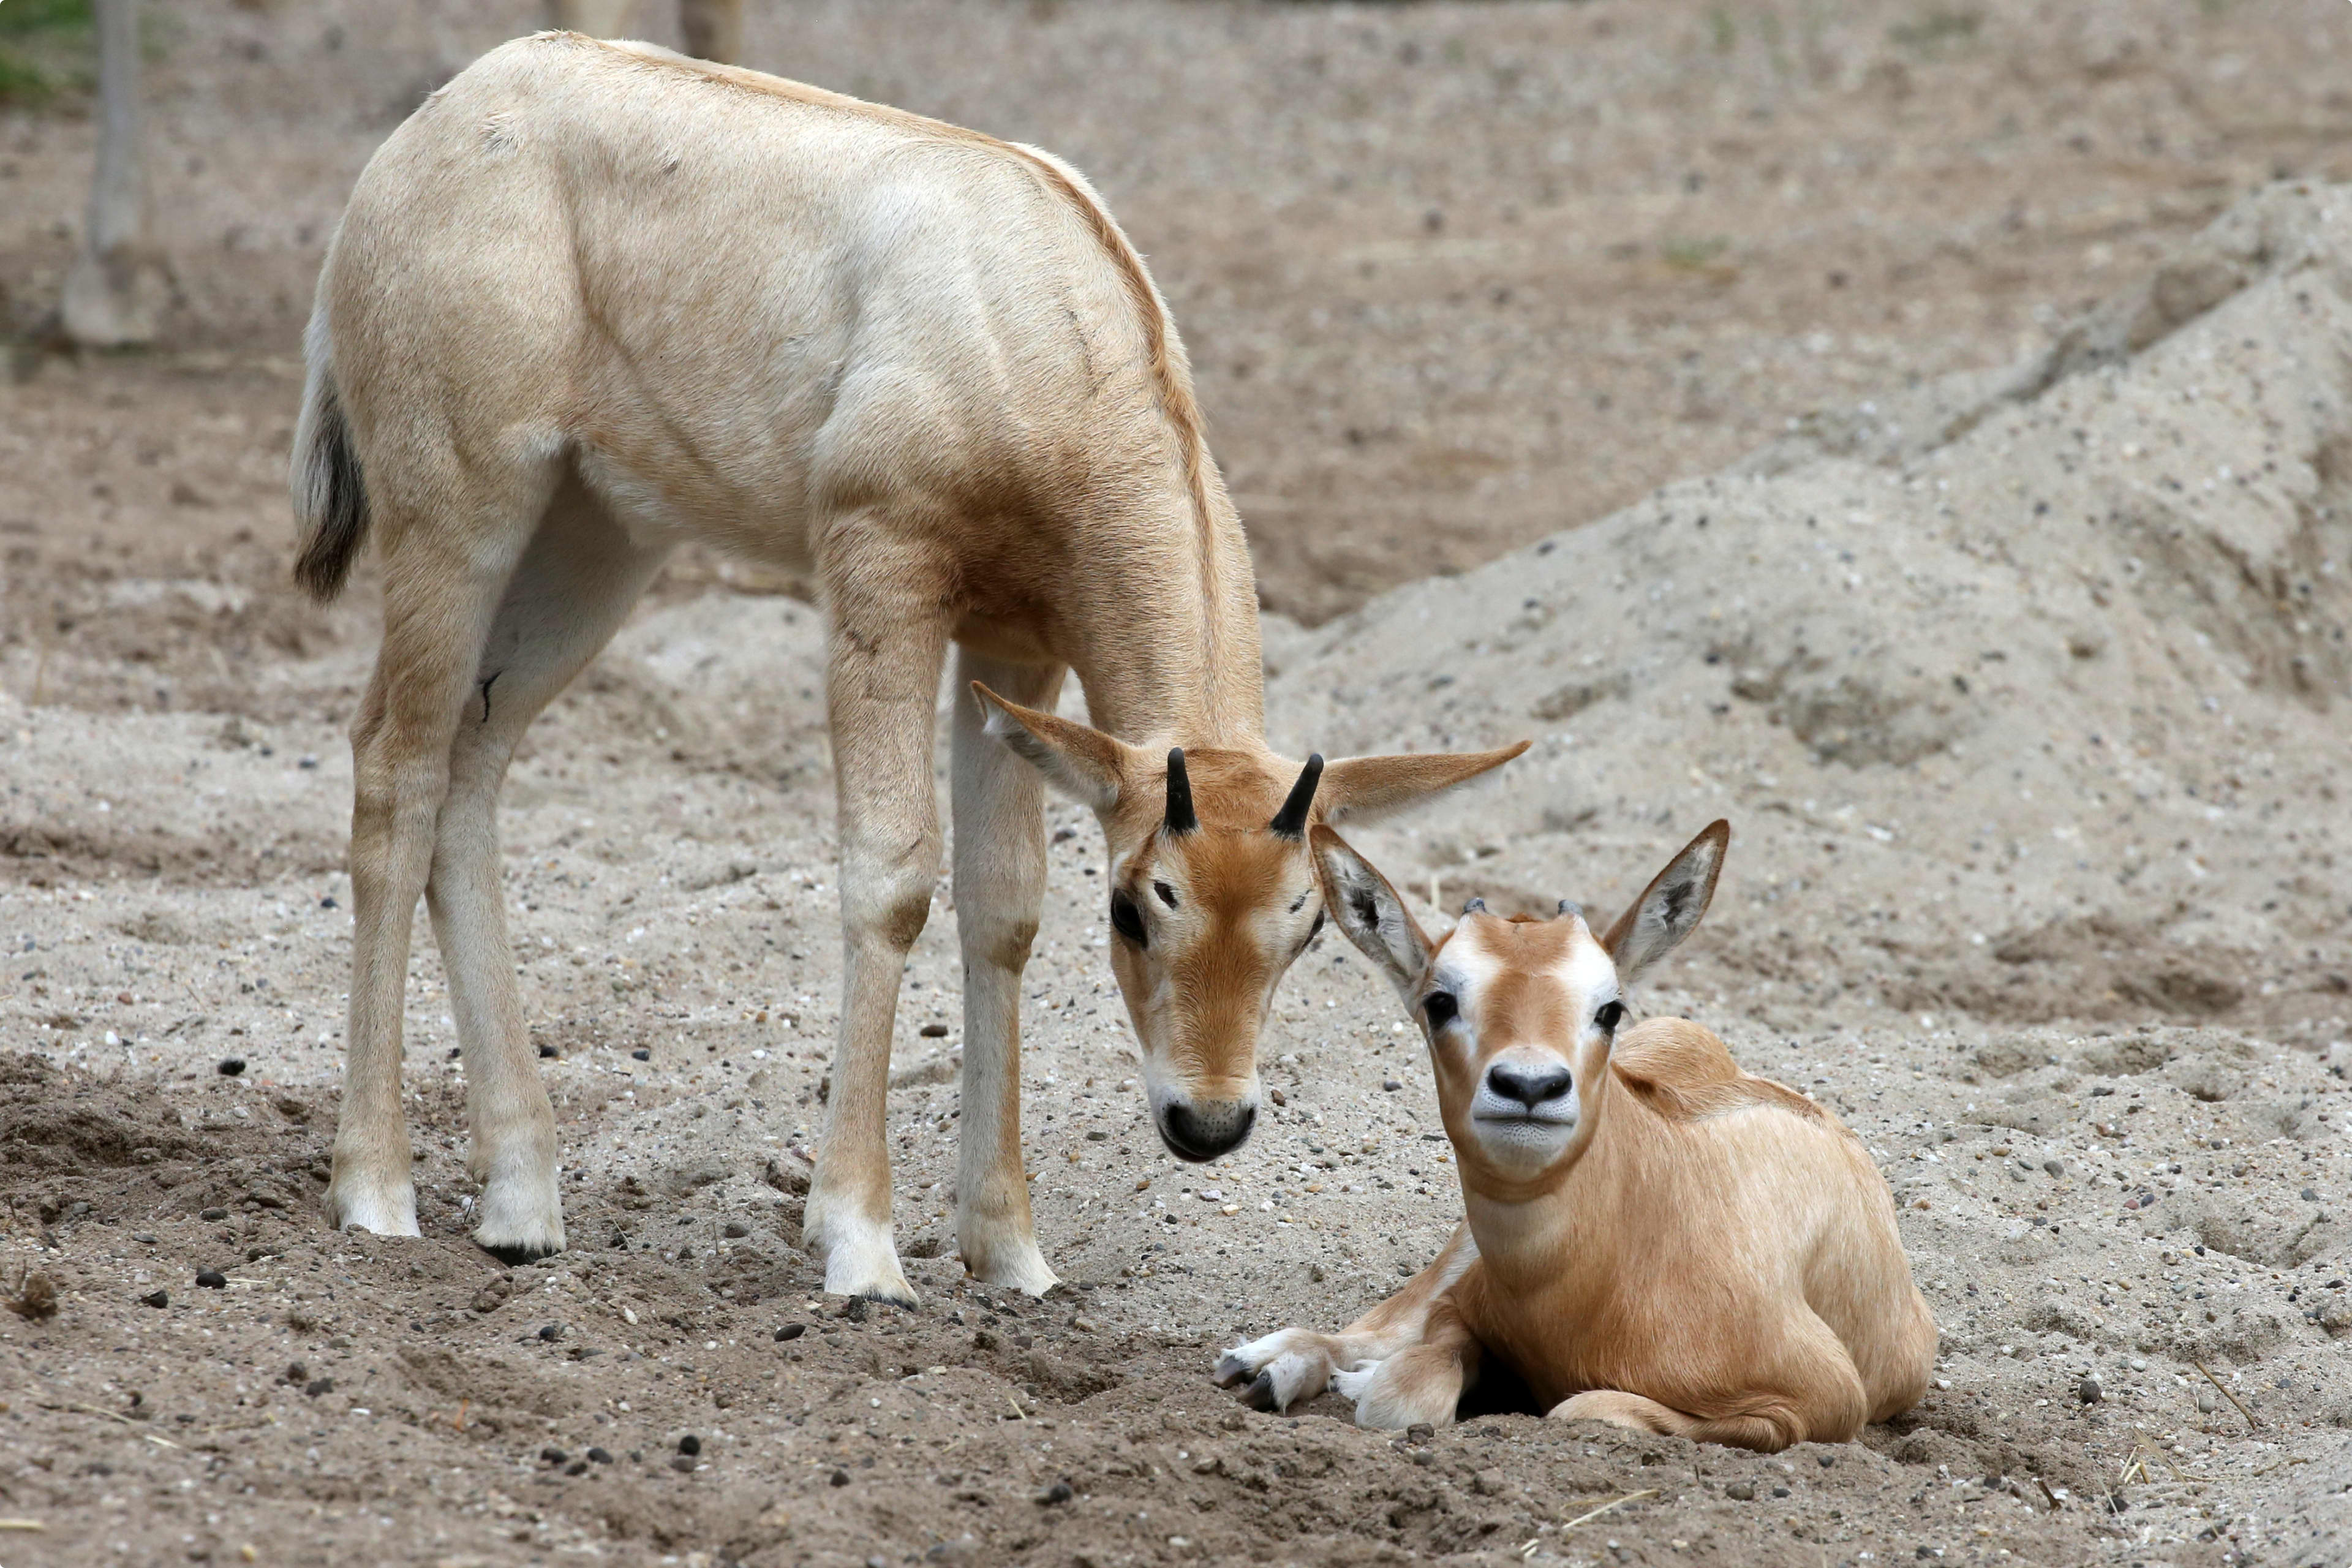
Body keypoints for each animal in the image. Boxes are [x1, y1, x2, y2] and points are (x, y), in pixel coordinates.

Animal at [289, 40, 1524, 1316]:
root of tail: (443, 120)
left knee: (470, 768)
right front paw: (861, 1247)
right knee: (395, 763)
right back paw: (375, 1190)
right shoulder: (881, 572)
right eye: (1137, 907)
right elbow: (890, 878)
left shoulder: (1015, 642)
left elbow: (1003, 904)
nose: (1207, 1124)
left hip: (595, 539)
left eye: (1307, 926)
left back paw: (523, 1205)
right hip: (458, 515)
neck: (1034, 307)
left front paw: (1012, 1253)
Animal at [1223, 827, 1938, 1457]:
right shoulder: (1465, 1305)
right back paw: (1266, 1363)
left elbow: (1575, 1407)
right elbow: (1412, 1379)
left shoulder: (1822, 1403)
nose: (1529, 1086)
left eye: (1609, 1008)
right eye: (1440, 1000)